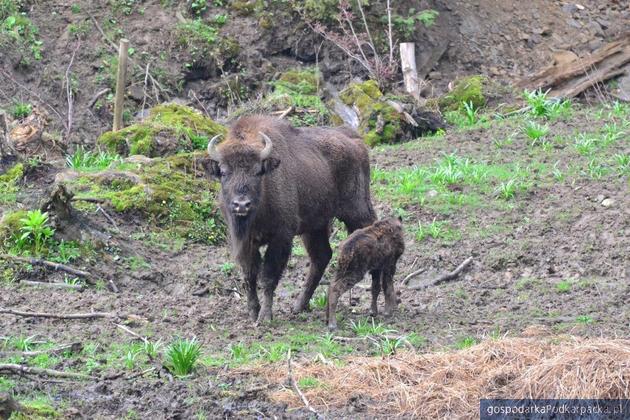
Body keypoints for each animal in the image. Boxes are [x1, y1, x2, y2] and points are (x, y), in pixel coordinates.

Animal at [205, 116, 378, 324]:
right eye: (223, 172)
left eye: (258, 171)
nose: (241, 205)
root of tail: (354, 138)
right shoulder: (245, 242)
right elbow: (249, 275)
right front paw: (253, 313)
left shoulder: (281, 237)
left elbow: (268, 277)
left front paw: (265, 317)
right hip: (315, 226)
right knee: (321, 256)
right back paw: (298, 306)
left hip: (357, 211)